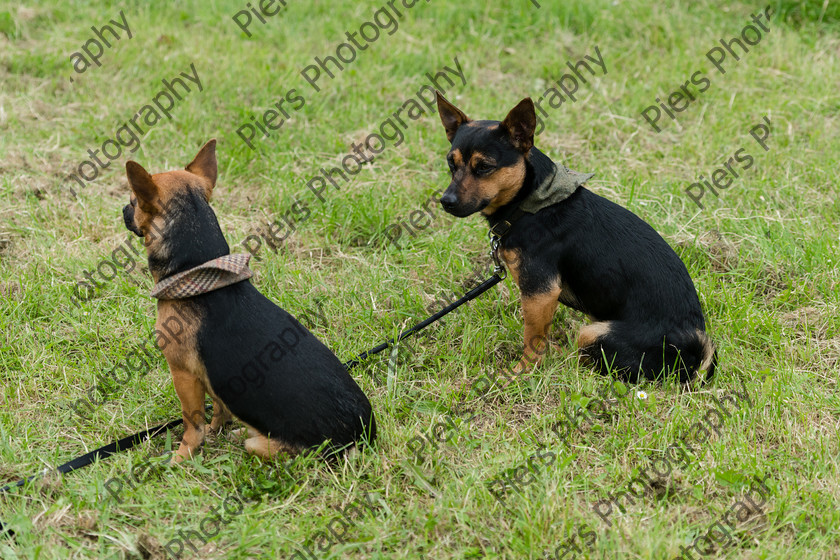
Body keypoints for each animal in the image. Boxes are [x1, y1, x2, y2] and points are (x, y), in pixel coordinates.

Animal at [120, 138, 374, 462]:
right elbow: (220, 408)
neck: (200, 273)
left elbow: (192, 425)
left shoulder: (183, 376)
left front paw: (181, 457)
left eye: (134, 201)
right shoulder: (216, 380)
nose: (123, 209)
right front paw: (218, 429)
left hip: (262, 446)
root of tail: (361, 438)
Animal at [434, 94, 716, 382]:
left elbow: (532, 339)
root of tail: (693, 359)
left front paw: (521, 373)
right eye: (450, 164)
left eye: (484, 167)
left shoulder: (540, 292)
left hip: (592, 333)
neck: (530, 204)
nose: (446, 201)